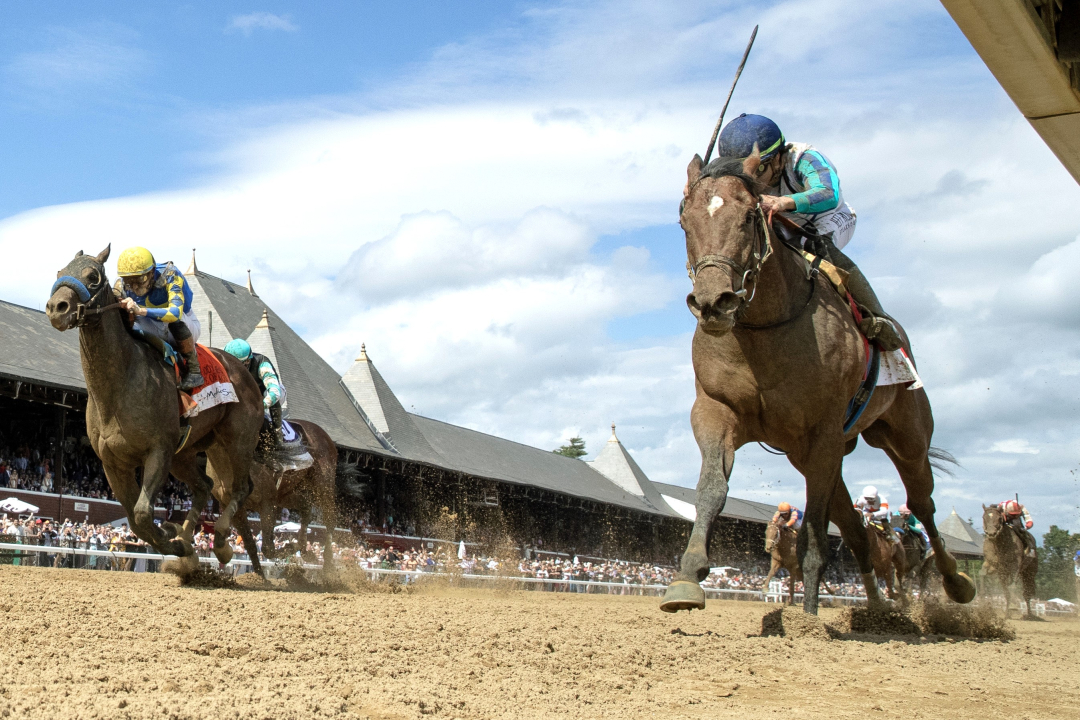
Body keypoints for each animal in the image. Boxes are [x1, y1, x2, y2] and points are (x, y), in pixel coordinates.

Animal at [45, 248, 265, 569]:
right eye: (60, 271)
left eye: (93, 276)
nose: (56, 308)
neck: (120, 384)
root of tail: (246, 372)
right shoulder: (113, 463)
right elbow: (136, 522)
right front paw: (179, 543)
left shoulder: (158, 451)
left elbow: (142, 513)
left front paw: (174, 540)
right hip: (186, 454)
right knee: (205, 486)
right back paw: (187, 538)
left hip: (238, 442)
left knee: (240, 489)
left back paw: (222, 543)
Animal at [231, 418, 336, 578]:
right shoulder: (237, 511)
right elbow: (251, 545)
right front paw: (259, 577)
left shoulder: (268, 504)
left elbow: (267, 548)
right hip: (287, 493)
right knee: (306, 508)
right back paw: (305, 550)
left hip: (324, 486)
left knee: (329, 521)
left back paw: (328, 565)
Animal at [656, 152, 980, 613]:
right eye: (686, 221)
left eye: (750, 216)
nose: (714, 303)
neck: (765, 328)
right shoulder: (717, 409)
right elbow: (712, 488)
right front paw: (686, 579)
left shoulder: (822, 430)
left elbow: (813, 534)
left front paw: (806, 618)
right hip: (816, 453)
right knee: (857, 530)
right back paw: (877, 606)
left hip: (904, 435)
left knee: (921, 502)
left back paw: (954, 583)